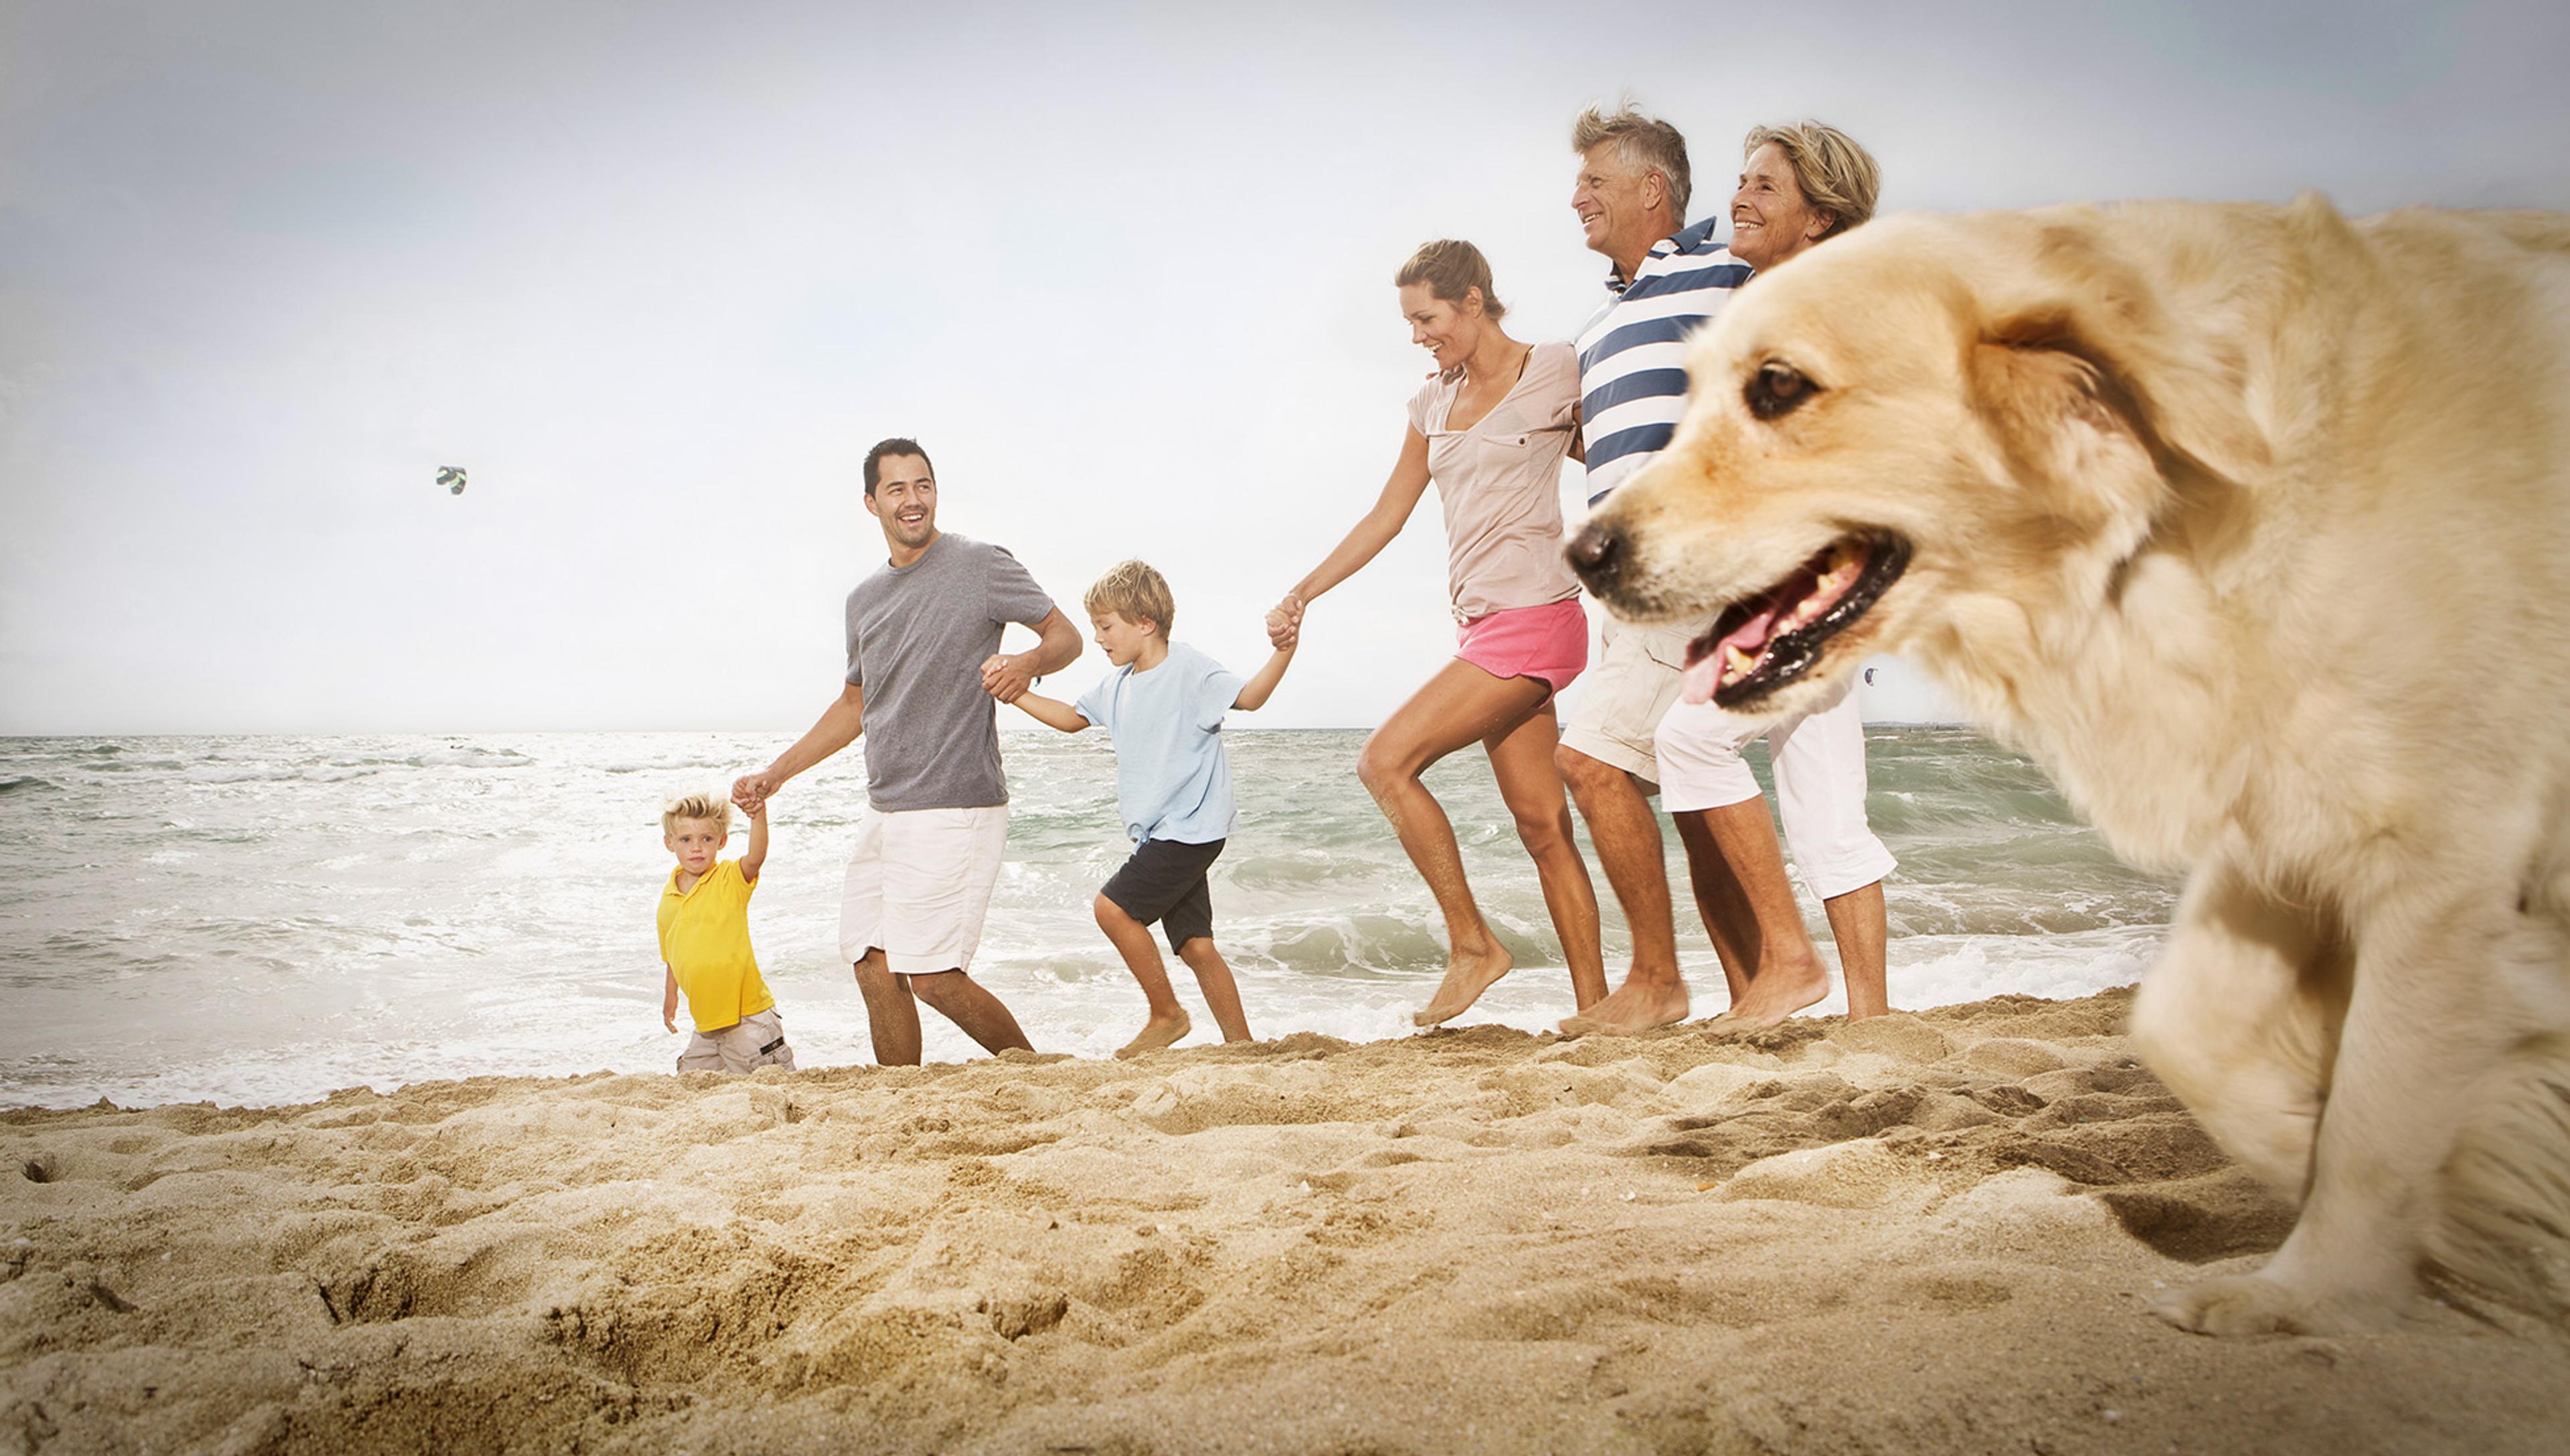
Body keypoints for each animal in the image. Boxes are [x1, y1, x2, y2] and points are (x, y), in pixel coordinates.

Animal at [1562, 199, 2570, 1335]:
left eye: (1778, 387)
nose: (1582, 555)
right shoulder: (2281, 812)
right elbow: (2189, 1030)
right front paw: (2415, 1193)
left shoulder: (2442, 862)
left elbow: (2378, 1112)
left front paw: (2312, 1291)